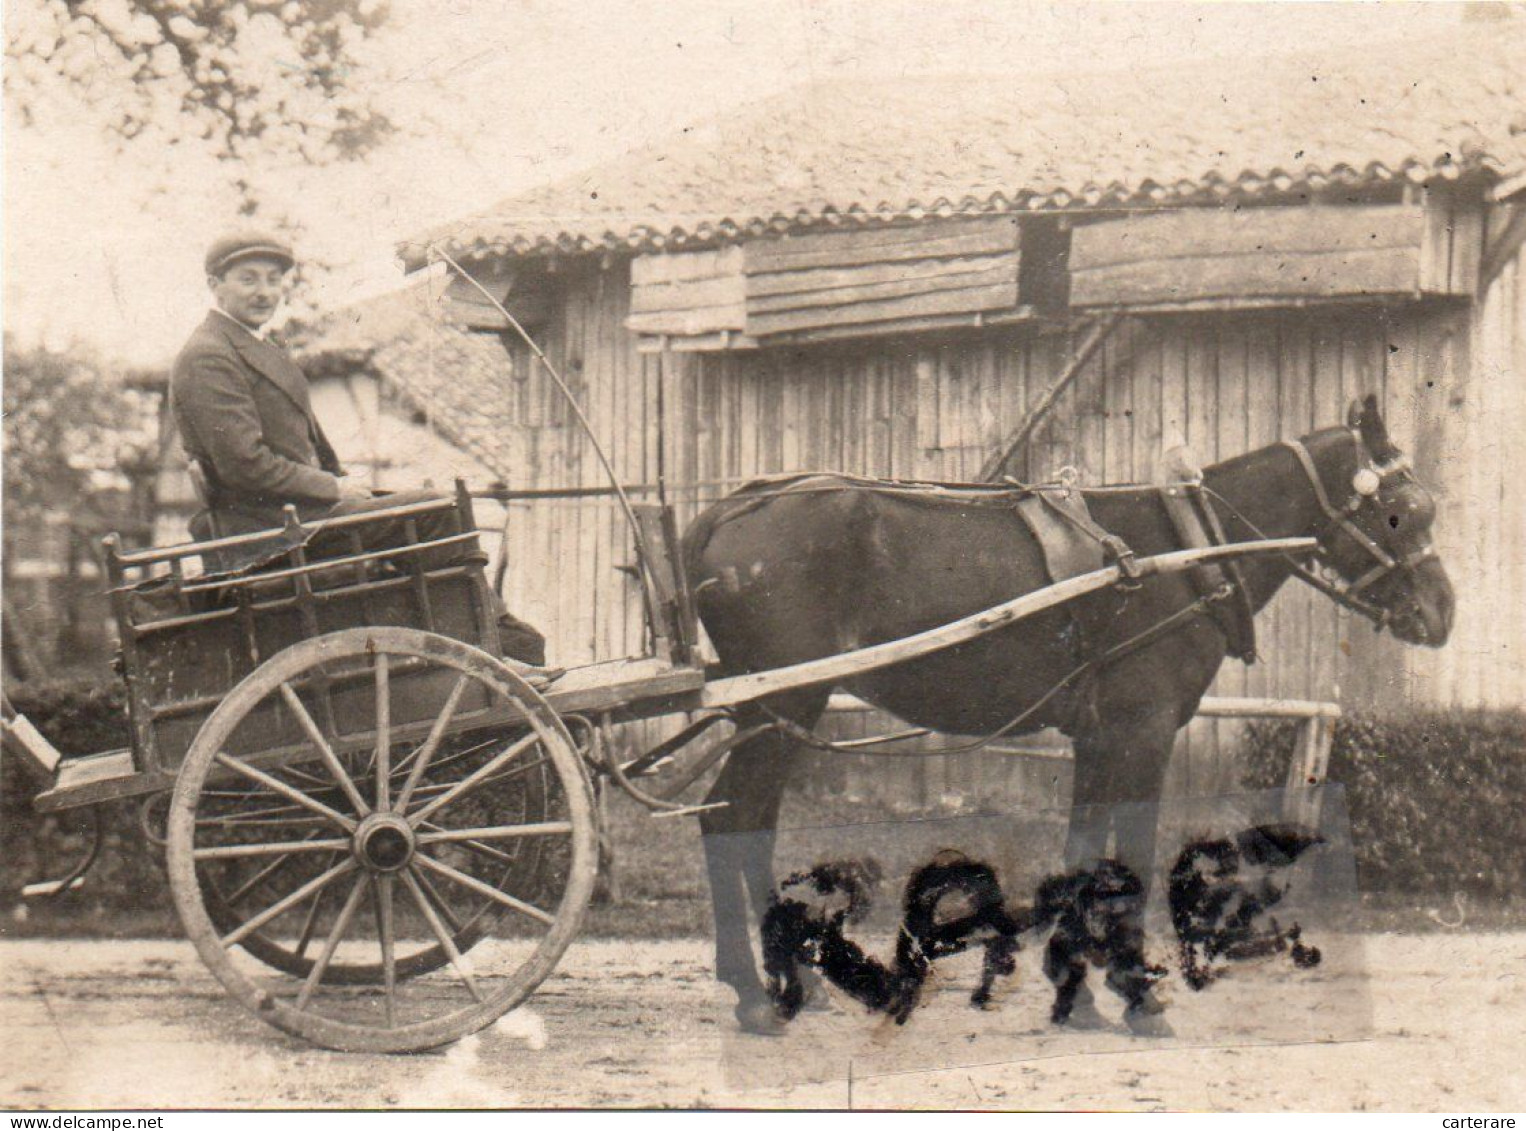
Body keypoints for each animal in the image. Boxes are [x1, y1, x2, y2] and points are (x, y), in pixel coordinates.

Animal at [683, 393, 1452, 1031]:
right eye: (1403, 511)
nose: (1442, 611)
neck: (1188, 549)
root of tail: (726, 513)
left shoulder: (1100, 739)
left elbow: (1086, 854)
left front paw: (1080, 994)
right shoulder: (1143, 734)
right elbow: (1130, 856)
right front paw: (1136, 996)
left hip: (777, 713)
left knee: (750, 822)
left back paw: (793, 977)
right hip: (783, 700)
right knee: (732, 817)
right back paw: (752, 990)